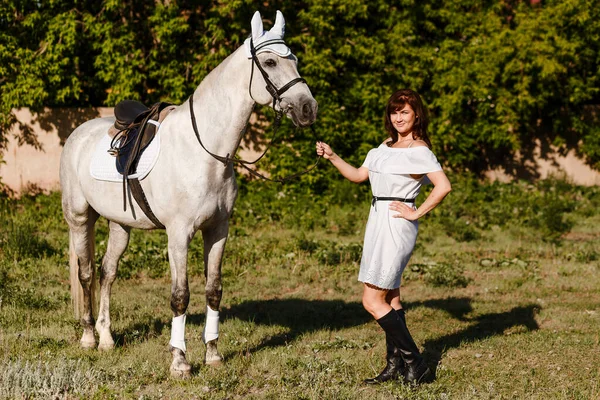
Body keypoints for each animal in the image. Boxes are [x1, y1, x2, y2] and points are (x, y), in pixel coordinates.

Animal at [58, 10, 316, 378]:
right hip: (80, 219)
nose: (309, 109)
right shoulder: (178, 235)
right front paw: (179, 362)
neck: (206, 152)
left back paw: (107, 338)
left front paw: (213, 354)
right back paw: (89, 337)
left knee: (107, 273)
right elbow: (180, 296)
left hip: (120, 225)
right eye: (269, 61)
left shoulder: (218, 231)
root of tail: (78, 133)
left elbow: (213, 290)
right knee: (86, 273)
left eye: (293, 59)